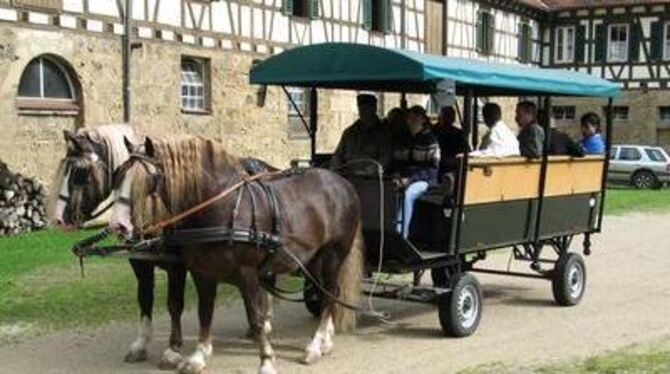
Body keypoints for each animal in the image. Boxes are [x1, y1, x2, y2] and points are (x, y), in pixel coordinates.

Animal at [109, 136, 368, 374]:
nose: (118, 226)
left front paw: (266, 360)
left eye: (148, 181)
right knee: (326, 292)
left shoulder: (246, 272)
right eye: (118, 175)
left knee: (330, 292)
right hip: (312, 257)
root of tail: (342, 182)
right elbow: (204, 312)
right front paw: (198, 356)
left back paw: (315, 345)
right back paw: (324, 342)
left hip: (334, 254)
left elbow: (255, 317)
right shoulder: (202, 272)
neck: (223, 206)